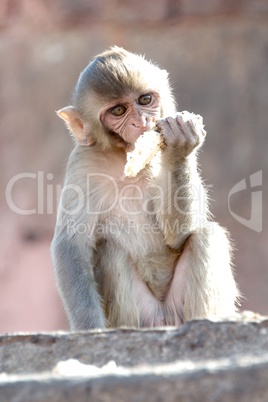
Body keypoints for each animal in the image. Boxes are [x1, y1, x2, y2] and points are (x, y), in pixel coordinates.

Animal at [51, 47, 240, 330]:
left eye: (145, 99)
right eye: (119, 110)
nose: (141, 122)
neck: (123, 156)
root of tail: (164, 319)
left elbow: (179, 235)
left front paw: (181, 144)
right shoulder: (83, 163)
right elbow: (72, 244)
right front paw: (92, 329)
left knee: (206, 235)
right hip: (143, 315)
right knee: (109, 251)